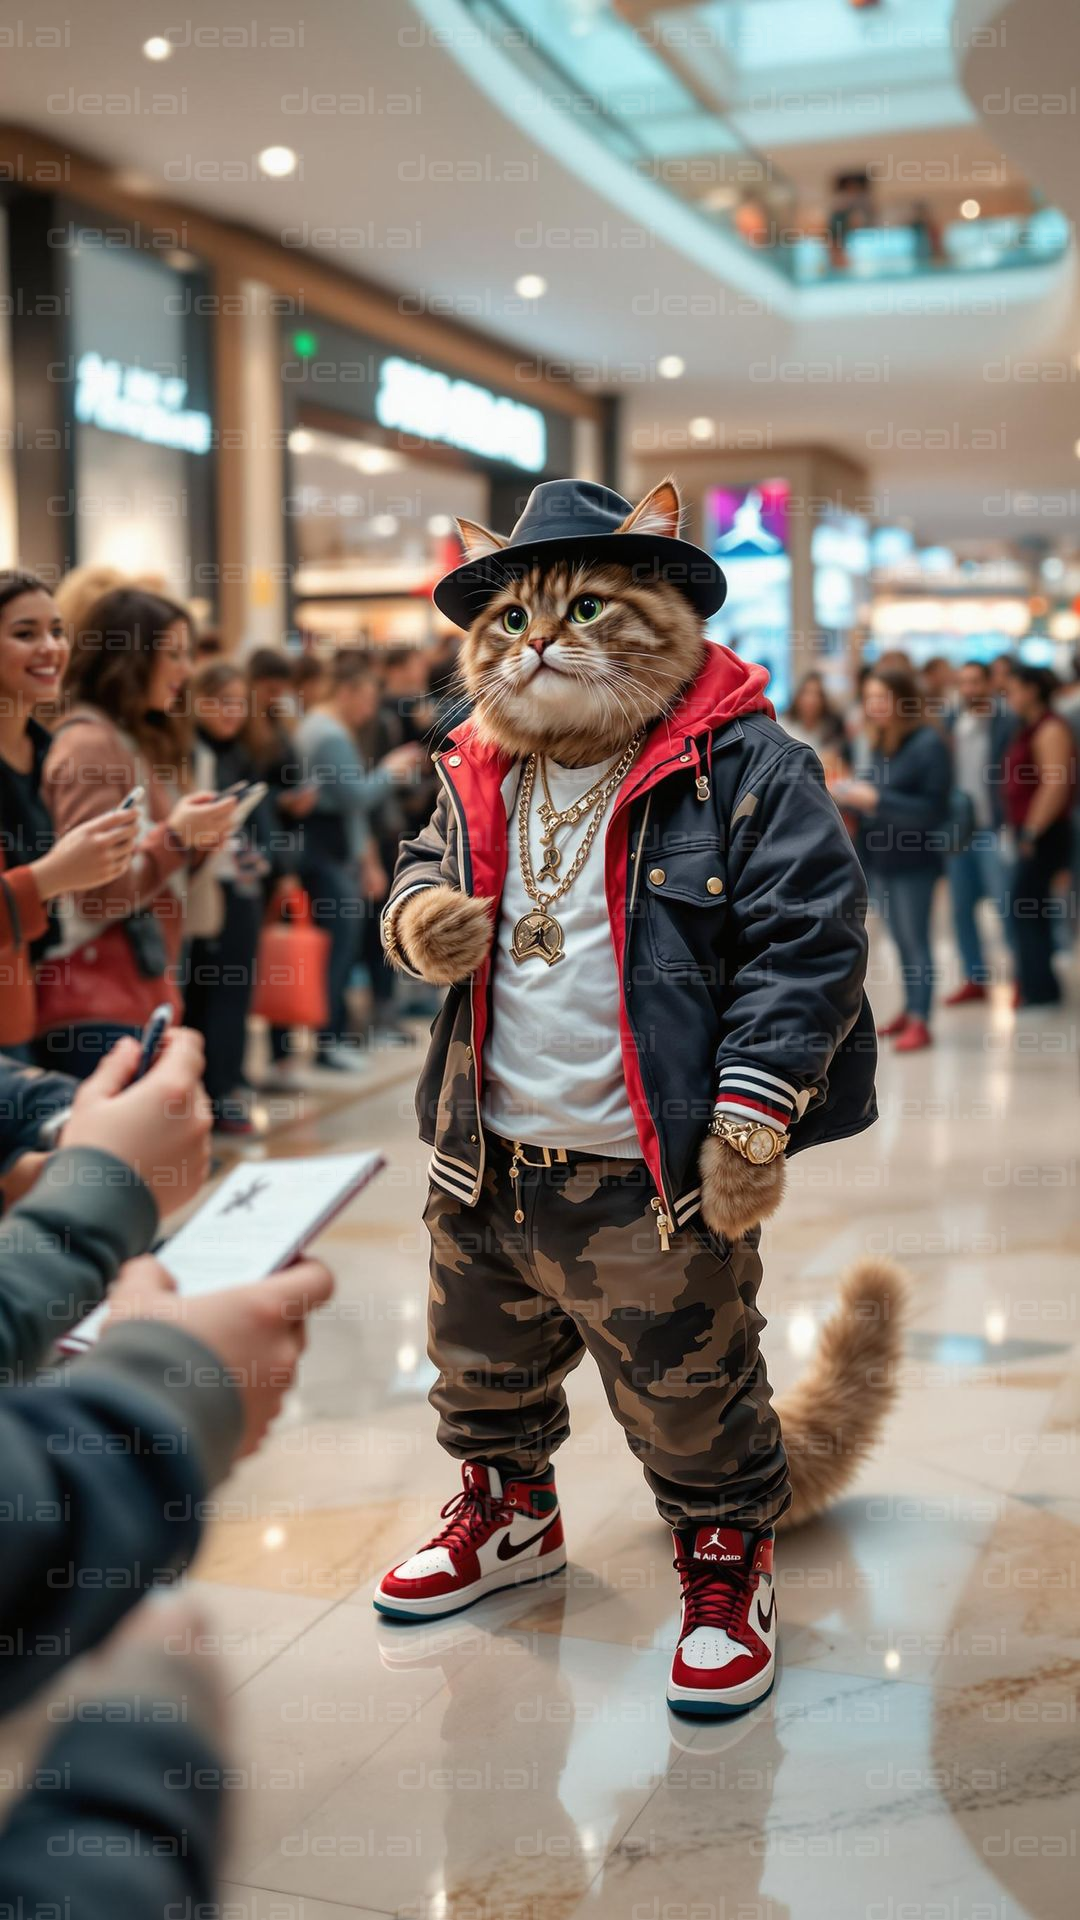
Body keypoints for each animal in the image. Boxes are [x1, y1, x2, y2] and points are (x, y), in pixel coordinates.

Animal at [374, 472, 895, 1720]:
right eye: (512, 616)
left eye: (589, 606)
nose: (538, 644)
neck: (579, 760)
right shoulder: (439, 836)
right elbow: (420, 872)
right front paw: (445, 927)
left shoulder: (791, 882)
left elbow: (791, 948)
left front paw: (738, 1159)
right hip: (480, 1271)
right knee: (501, 1413)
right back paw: (500, 1533)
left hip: (674, 1331)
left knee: (717, 1464)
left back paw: (723, 1618)